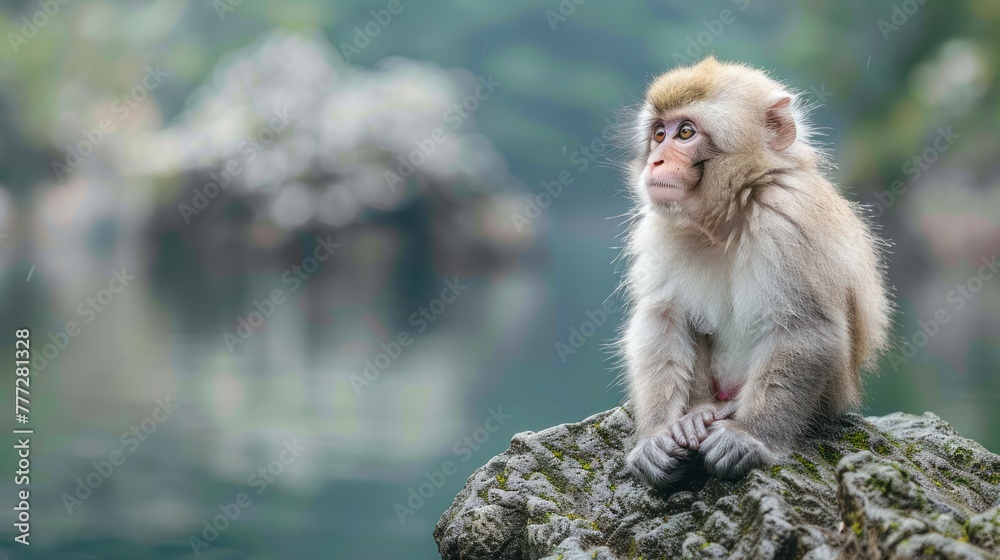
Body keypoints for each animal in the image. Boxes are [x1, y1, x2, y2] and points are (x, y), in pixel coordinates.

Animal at [615, 56, 892, 489]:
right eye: (659, 134)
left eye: (686, 132)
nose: (655, 160)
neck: (732, 216)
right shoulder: (661, 231)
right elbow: (663, 319)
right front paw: (656, 437)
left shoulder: (789, 219)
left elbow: (804, 328)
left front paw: (749, 438)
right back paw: (697, 413)